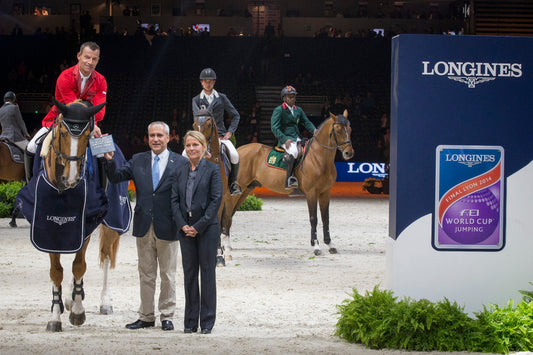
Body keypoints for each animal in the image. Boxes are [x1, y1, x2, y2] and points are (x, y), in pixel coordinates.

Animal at [33, 99, 121, 330]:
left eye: (88, 134)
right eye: (63, 133)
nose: (70, 178)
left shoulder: (85, 223)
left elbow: (79, 265)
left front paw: (79, 311)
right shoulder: (46, 225)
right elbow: (56, 271)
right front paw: (55, 316)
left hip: (109, 224)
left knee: (105, 256)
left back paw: (103, 302)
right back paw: (67, 300)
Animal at [224, 113, 354, 256]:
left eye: (350, 129)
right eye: (338, 130)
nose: (349, 153)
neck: (318, 158)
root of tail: (238, 150)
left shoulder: (325, 192)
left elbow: (326, 218)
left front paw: (330, 245)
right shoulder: (312, 193)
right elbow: (313, 218)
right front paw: (316, 246)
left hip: (245, 190)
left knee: (231, 213)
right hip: (236, 192)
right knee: (227, 213)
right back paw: (225, 245)